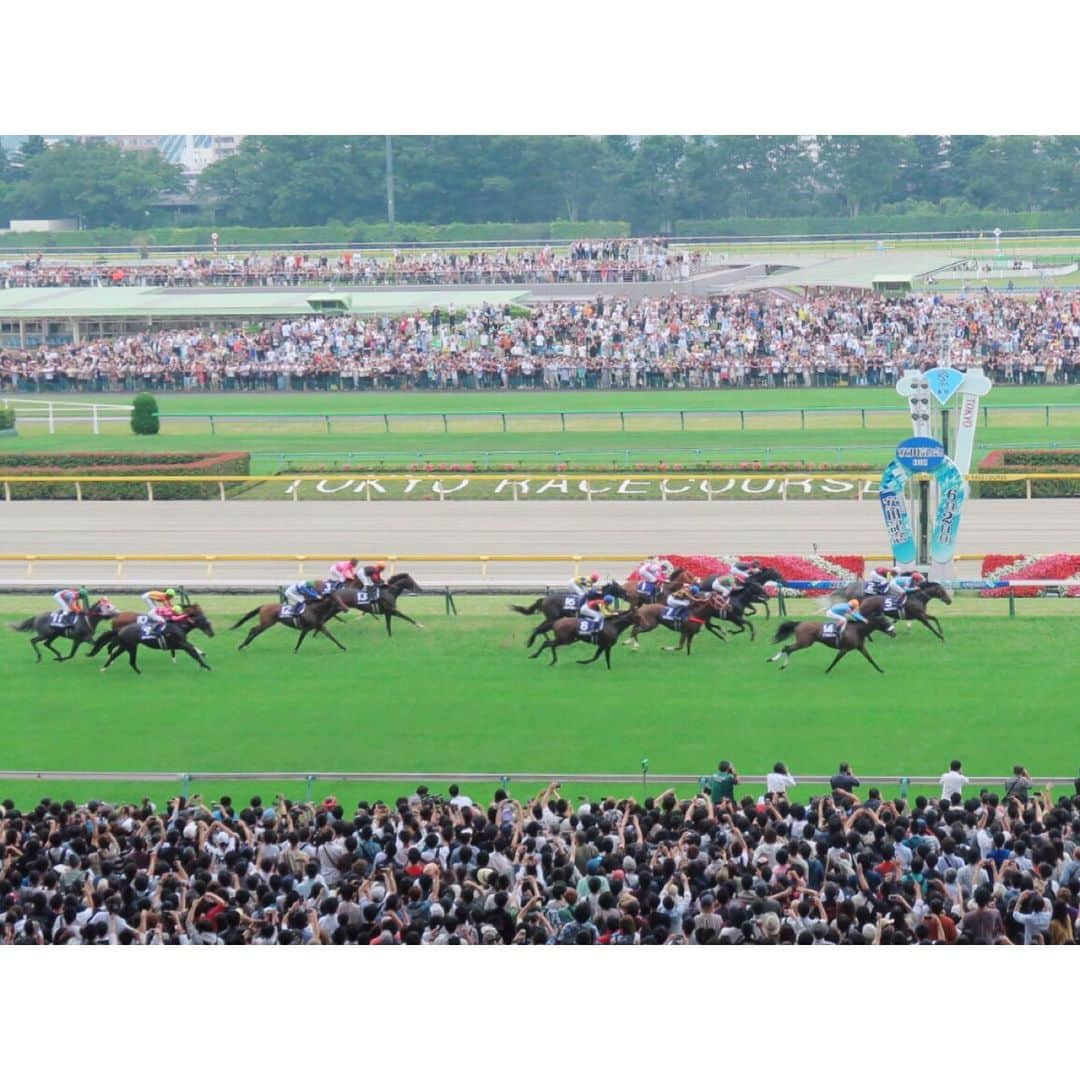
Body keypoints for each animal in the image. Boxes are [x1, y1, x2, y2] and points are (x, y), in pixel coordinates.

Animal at [764, 613, 898, 669]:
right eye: (885, 622)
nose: (894, 633)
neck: (857, 630)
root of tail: (800, 623)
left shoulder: (860, 647)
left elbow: (870, 659)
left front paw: (881, 670)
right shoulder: (844, 649)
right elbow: (835, 661)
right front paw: (827, 671)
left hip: (805, 643)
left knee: (787, 648)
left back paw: (776, 662)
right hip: (804, 643)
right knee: (787, 648)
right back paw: (778, 663)